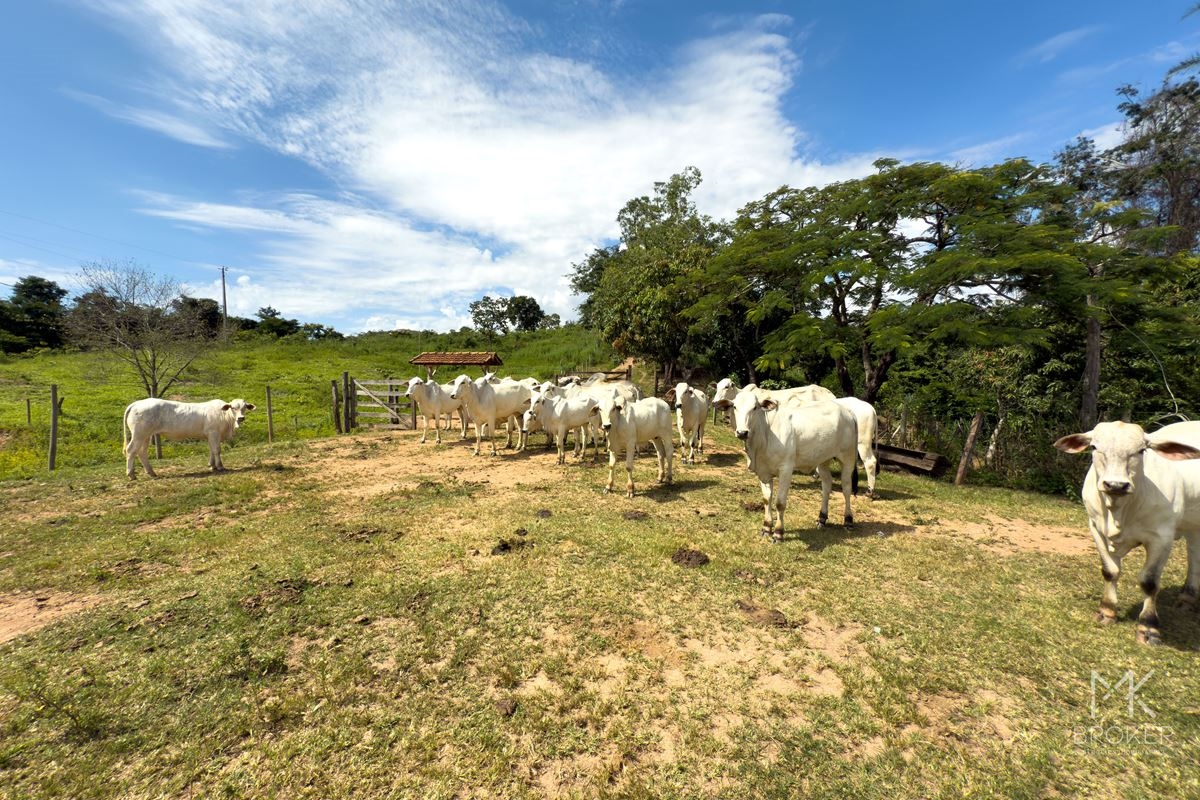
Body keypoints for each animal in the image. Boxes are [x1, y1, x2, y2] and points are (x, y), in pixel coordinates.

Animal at [123, 398, 254, 479]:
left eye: (244, 407)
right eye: (233, 407)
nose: (241, 418)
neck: (225, 417)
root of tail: (137, 403)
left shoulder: (210, 435)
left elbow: (211, 450)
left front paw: (212, 465)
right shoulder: (214, 433)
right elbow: (217, 450)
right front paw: (220, 466)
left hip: (146, 435)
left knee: (142, 452)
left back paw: (151, 472)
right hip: (139, 434)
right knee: (131, 450)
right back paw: (131, 474)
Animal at [1056, 422, 1200, 647]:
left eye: (1141, 450)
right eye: (1094, 447)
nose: (1116, 485)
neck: (1119, 511)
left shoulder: (1162, 537)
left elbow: (1149, 582)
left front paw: (1148, 627)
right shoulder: (1096, 528)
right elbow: (1110, 571)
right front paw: (1107, 611)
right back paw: (1187, 598)